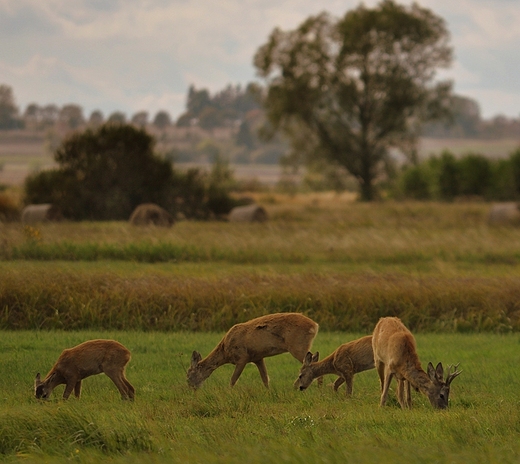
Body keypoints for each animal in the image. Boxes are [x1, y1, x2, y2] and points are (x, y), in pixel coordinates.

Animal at [187, 312, 316, 388]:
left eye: (188, 375)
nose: (190, 388)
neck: (225, 351)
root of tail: (314, 325)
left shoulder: (242, 357)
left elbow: (233, 379)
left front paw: (229, 393)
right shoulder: (258, 358)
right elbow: (265, 379)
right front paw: (268, 393)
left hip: (298, 346)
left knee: (312, 360)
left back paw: (296, 386)